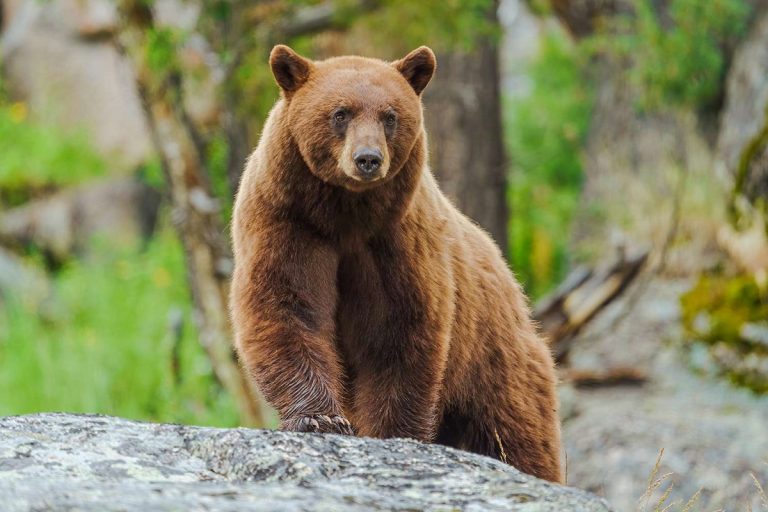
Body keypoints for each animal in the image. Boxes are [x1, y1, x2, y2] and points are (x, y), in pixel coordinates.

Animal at [230, 44, 563, 483]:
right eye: (340, 113)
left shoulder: (397, 242)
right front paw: (319, 418)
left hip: (496, 365)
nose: (368, 159)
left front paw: (391, 432)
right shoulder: (288, 223)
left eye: (389, 116)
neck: (345, 214)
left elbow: (398, 330)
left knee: (516, 435)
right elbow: (286, 306)